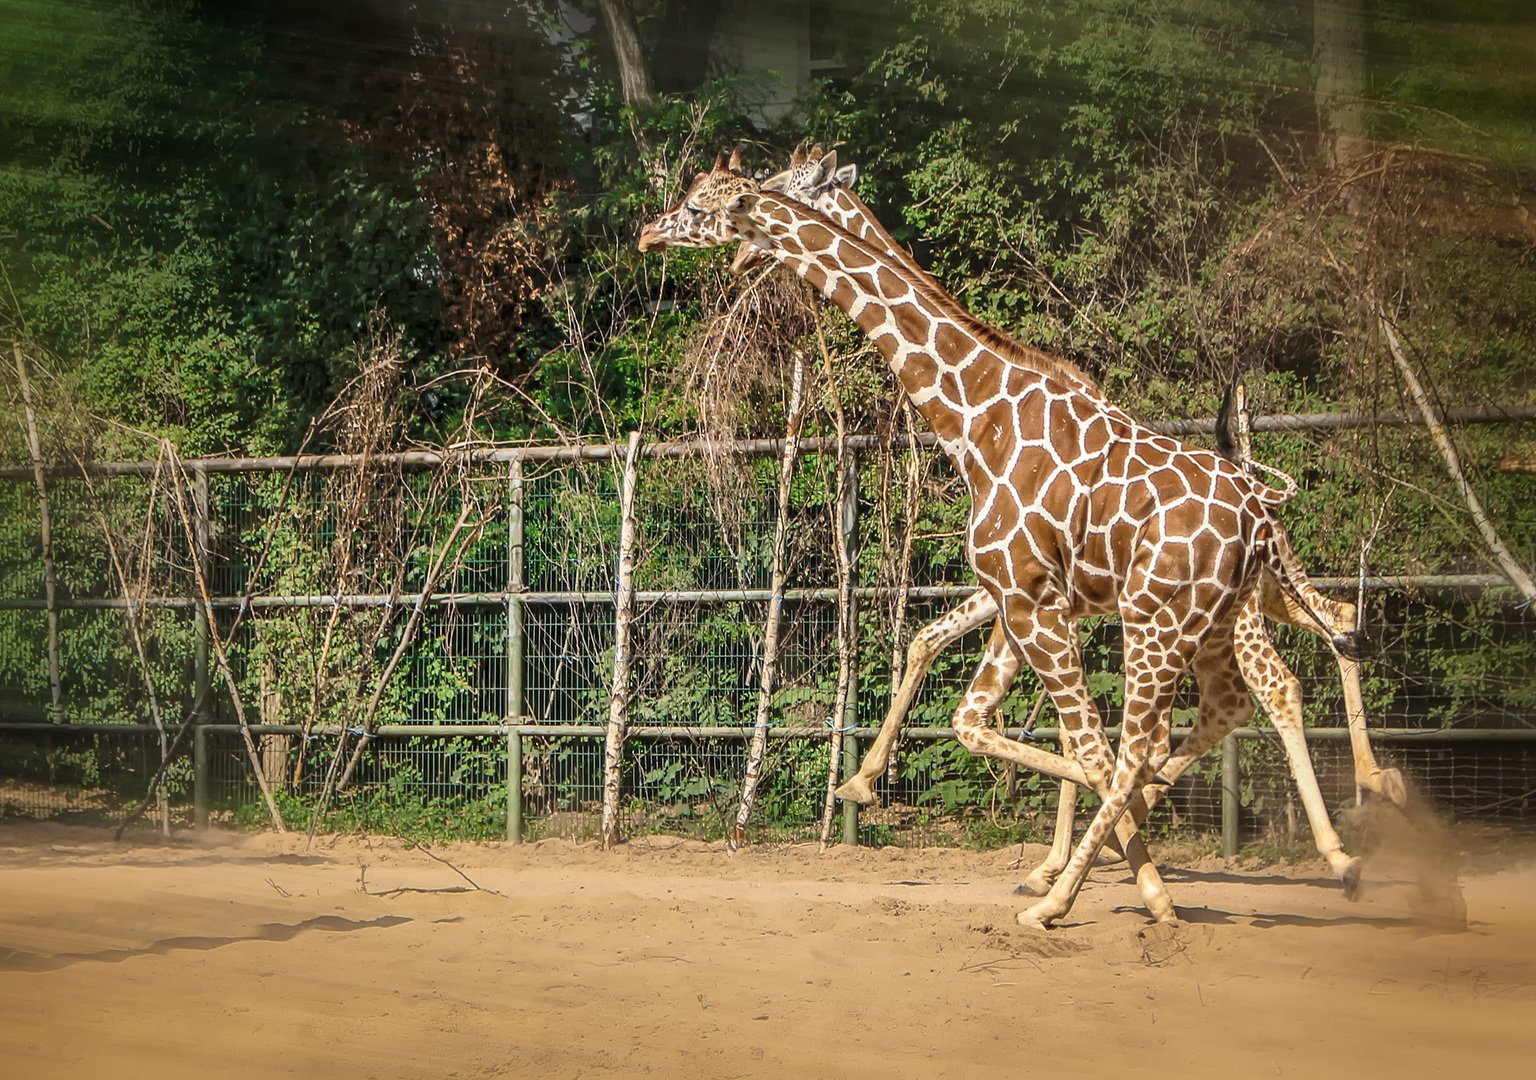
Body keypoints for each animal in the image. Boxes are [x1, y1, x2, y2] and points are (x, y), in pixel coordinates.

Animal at [635, 152, 1370, 927]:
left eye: (701, 202)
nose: (650, 232)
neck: (976, 415)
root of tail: (1261, 511)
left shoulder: (1028, 597)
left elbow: (1074, 740)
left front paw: (1115, 877)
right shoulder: (1025, 601)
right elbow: (973, 702)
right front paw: (869, 786)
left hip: (1165, 621)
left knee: (1207, 712)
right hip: (1213, 618)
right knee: (1271, 672)